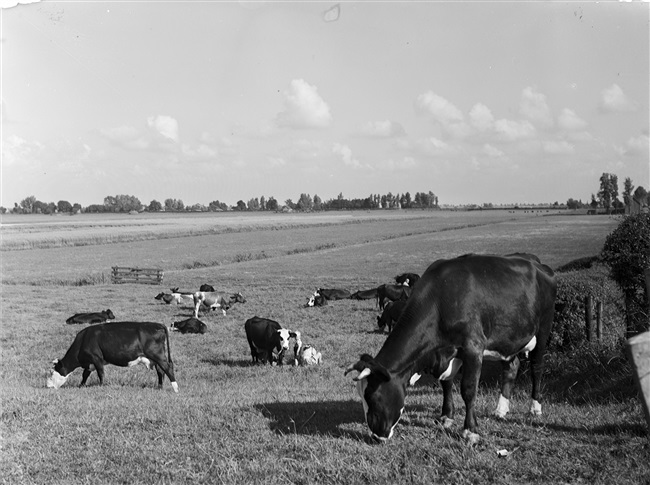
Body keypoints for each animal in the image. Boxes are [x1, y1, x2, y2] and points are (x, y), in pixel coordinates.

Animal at [46, 320, 178, 392]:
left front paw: (101, 385)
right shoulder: (89, 363)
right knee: (161, 371)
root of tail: (157, 324)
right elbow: (85, 375)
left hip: (158, 355)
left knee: (168, 368)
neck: (84, 339)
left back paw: (175, 388)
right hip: (155, 358)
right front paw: (81, 385)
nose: (48, 385)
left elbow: (101, 373)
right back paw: (159, 387)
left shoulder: (96, 358)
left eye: (52, 373)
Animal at [346, 251, 556, 444]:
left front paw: (470, 431)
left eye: (373, 397)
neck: (440, 300)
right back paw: (501, 409)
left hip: (543, 328)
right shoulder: (446, 353)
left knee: (537, 368)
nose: (376, 435)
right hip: (508, 337)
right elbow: (446, 383)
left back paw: (535, 407)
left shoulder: (473, 347)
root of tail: (537, 263)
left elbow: (468, 390)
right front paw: (446, 416)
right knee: (511, 367)